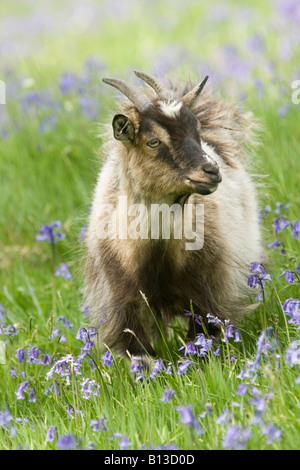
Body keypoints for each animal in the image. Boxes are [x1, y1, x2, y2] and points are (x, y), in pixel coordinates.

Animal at [83, 69, 264, 364]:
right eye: (153, 141)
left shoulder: (206, 295)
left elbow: (200, 343)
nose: (211, 171)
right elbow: (141, 356)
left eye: (195, 132)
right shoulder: (124, 304)